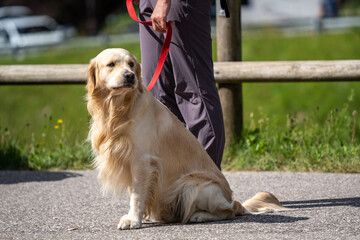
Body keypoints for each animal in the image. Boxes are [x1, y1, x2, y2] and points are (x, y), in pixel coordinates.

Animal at [85, 47, 286, 230]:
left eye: (131, 64)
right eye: (111, 64)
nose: (130, 76)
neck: (117, 109)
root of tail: (234, 201)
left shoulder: (142, 160)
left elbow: (137, 195)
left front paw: (133, 219)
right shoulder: (129, 160)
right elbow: (135, 192)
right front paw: (139, 216)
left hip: (193, 185)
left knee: (227, 212)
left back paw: (199, 216)